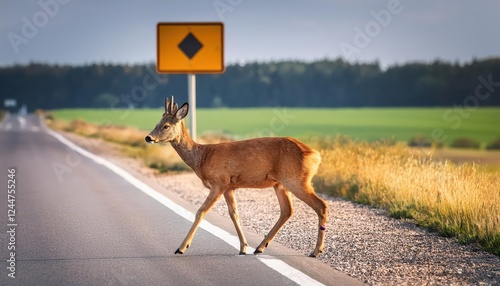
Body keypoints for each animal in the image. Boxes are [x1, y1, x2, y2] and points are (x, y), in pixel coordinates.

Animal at [144, 96, 328, 256]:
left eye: (166, 126)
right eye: (157, 123)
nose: (148, 137)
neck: (202, 158)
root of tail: (315, 155)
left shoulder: (219, 183)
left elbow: (200, 211)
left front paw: (181, 247)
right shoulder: (229, 186)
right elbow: (234, 214)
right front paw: (243, 247)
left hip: (296, 180)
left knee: (321, 205)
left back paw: (315, 251)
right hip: (280, 184)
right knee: (287, 211)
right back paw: (260, 247)